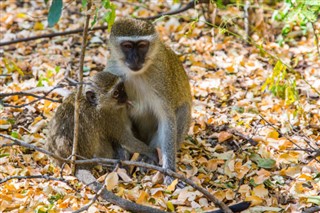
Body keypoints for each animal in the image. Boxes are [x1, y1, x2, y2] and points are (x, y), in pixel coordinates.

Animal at [105, 18, 192, 184]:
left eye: (142, 46)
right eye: (127, 46)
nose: (135, 59)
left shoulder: (162, 78)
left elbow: (167, 119)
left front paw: (169, 170)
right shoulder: (112, 72)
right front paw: (121, 159)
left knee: (183, 110)